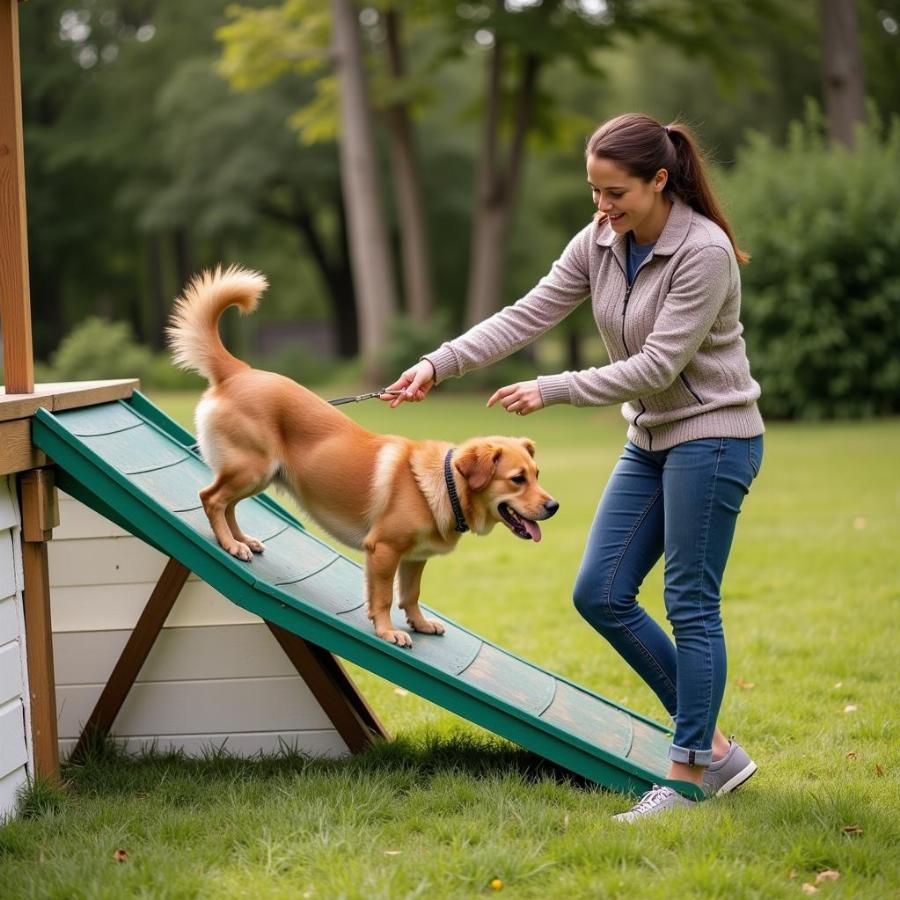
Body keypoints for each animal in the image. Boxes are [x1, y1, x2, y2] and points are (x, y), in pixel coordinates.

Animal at [166, 266, 560, 648]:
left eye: (538, 474)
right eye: (517, 479)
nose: (554, 506)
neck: (446, 484)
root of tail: (241, 371)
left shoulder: (414, 558)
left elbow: (411, 595)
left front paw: (420, 624)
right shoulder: (383, 551)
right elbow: (383, 598)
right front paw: (387, 632)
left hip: (257, 475)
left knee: (228, 504)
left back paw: (241, 540)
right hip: (252, 470)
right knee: (212, 498)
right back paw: (230, 543)